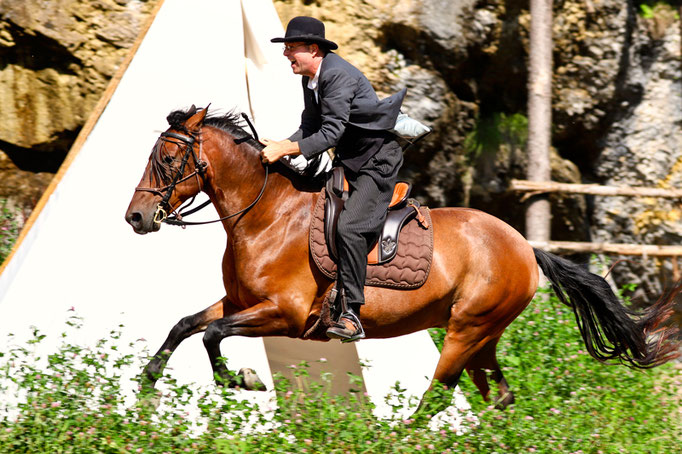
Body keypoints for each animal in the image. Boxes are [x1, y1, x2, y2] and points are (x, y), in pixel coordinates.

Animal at [125, 106, 676, 412]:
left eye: (167, 160)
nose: (135, 217)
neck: (265, 216)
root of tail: (524, 245)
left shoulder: (283, 313)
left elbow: (213, 336)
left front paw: (244, 379)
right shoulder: (240, 302)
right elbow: (185, 325)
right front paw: (146, 386)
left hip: (466, 332)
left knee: (437, 397)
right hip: (483, 339)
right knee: (498, 397)